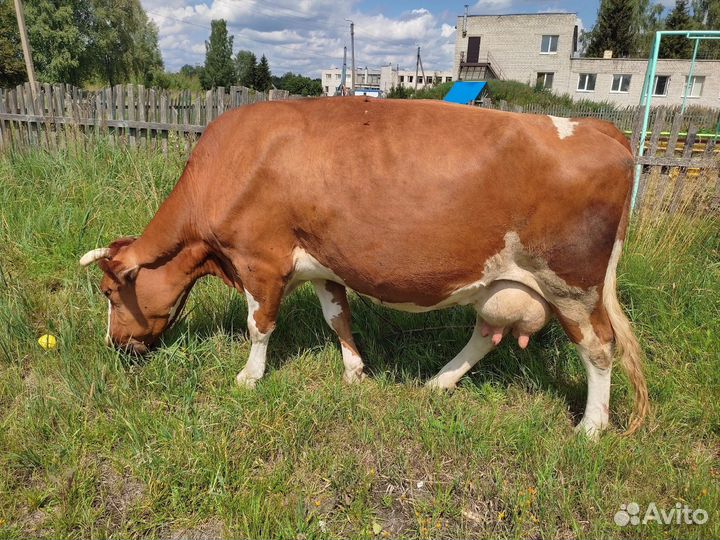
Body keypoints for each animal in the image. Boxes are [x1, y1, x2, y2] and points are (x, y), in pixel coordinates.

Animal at [80, 97, 649, 437]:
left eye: (108, 294)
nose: (113, 346)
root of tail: (600, 128)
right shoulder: (324, 263)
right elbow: (338, 318)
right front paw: (355, 370)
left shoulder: (260, 260)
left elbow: (259, 325)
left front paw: (249, 376)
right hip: (508, 281)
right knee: (488, 331)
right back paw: (439, 382)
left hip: (571, 283)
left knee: (599, 347)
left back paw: (591, 427)